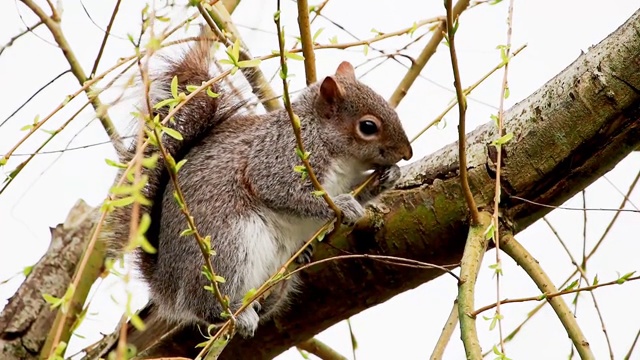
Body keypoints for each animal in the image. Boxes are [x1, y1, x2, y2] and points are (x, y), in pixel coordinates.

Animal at [100, 35, 410, 338]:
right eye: (368, 127)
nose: (408, 153)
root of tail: (165, 283)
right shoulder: (280, 156)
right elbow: (283, 192)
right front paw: (342, 205)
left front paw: (387, 176)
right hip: (226, 247)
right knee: (202, 303)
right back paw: (233, 315)